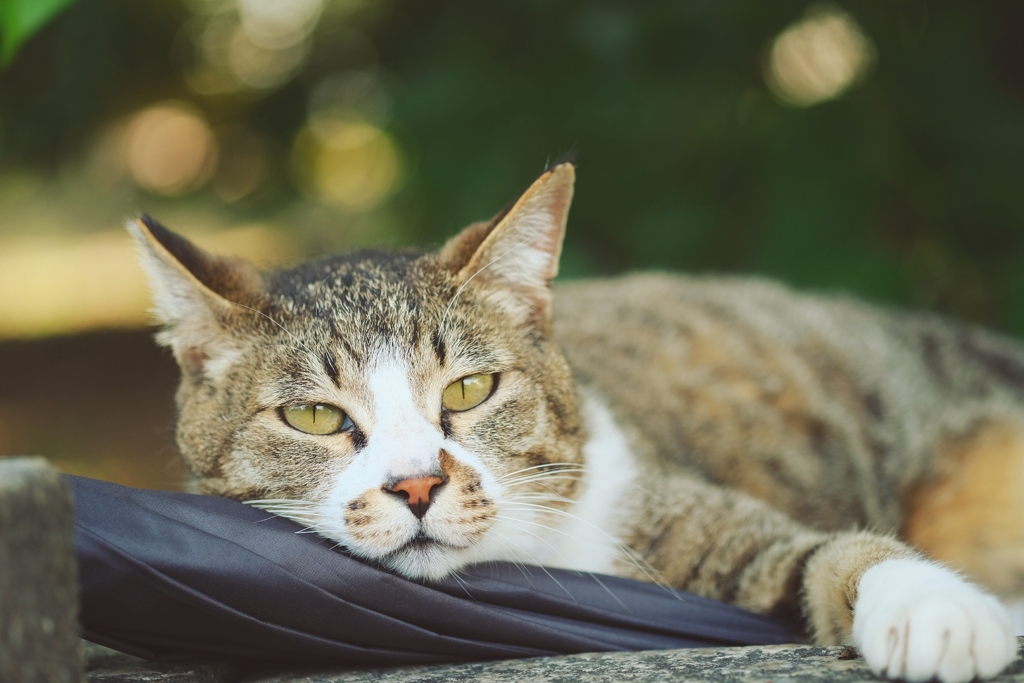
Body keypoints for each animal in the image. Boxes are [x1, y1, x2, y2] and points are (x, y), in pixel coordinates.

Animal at [132, 163, 1019, 683]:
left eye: (469, 390)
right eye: (314, 415)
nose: (416, 484)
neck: (524, 554)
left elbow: (826, 550)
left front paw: (934, 606)